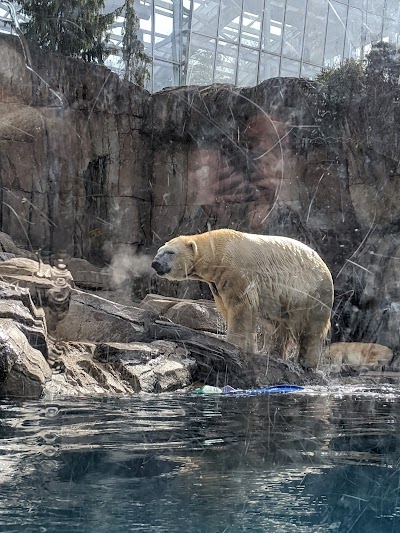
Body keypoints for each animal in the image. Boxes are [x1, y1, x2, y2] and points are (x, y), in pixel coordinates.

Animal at [152, 229, 332, 370]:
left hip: (312, 291)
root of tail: (323, 262)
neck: (217, 252)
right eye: (158, 251)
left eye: (170, 252)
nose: (155, 263)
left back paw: (306, 362)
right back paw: (271, 353)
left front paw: (233, 345)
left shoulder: (237, 272)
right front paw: (251, 349)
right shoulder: (217, 283)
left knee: (312, 326)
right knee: (276, 325)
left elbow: (240, 307)